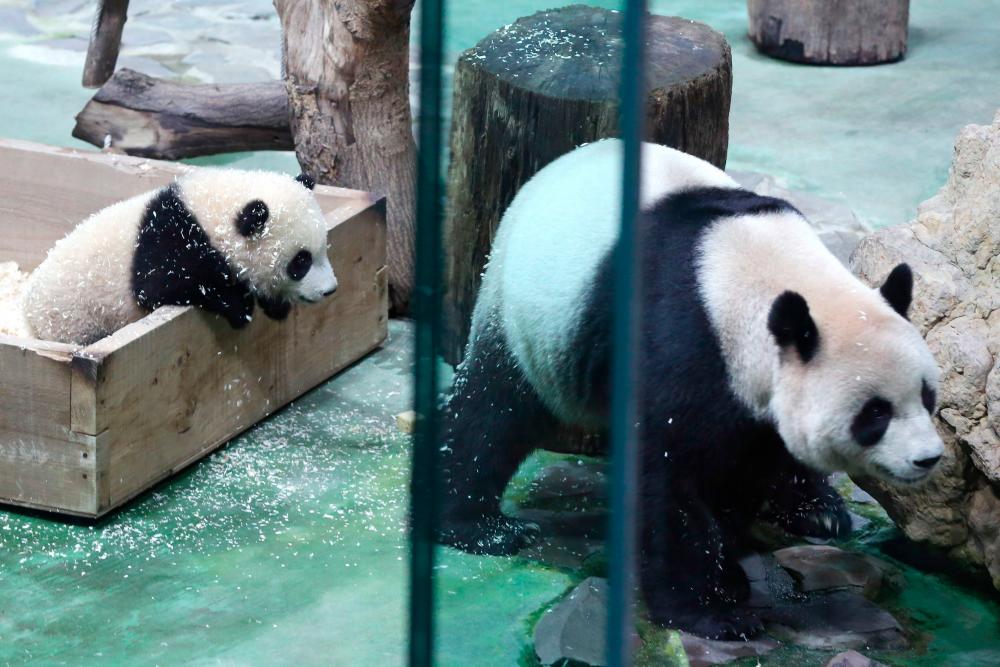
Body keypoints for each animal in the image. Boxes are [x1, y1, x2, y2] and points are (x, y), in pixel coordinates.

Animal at [22, 168, 336, 344]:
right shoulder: (170, 241)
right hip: (74, 319)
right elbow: (163, 285)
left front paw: (274, 304)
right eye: (301, 262)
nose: (330, 290)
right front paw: (239, 305)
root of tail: (29, 316)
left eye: (323, 248)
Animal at [440, 140, 944, 636]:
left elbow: (745, 471)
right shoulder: (681, 341)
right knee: (493, 413)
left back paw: (818, 510)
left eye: (927, 396)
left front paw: (729, 572)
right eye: (875, 413)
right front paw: (711, 611)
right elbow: (669, 482)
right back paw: (482, 528)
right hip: (528, 315)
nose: (928, 458)